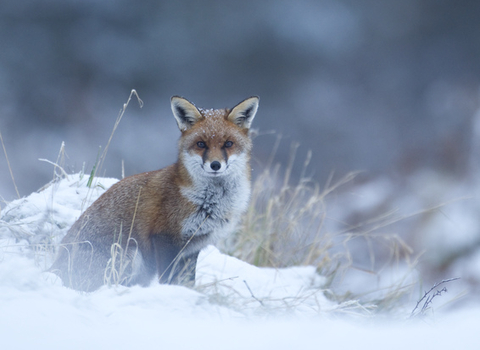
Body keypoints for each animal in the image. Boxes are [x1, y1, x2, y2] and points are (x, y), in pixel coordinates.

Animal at [49, 94, 258, 292]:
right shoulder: (164, 238)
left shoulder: (192, 249)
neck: (210, 202)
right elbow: (168, 279)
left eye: (228, 144)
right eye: (201, 144)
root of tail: (54, 268)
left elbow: (188, 282)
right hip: (131, 255)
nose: (215, 165)